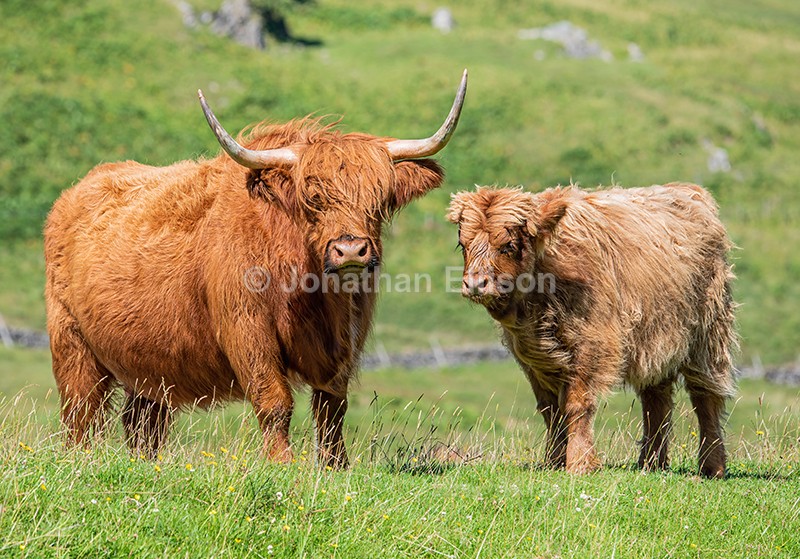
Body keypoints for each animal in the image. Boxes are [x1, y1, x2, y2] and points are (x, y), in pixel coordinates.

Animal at [44, 71, 467, 468]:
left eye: (380, 199)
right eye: (311, 200)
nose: (350, 250)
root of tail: (76, 192)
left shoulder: (347, 339)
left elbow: (333, 409)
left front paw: (336, 466)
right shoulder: (247, 329)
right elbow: (274, 401)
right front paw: (281, 463)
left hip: (149, 362)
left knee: (142, 422)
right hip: (71, 343)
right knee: (81, 413)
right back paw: (78, 459)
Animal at [447, 183, 737, 478]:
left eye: (508, 246)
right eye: (463, 244)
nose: (475, 284)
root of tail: (690, 190)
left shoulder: (592, 346)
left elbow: (577, 404)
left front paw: (579, 463)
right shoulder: (533, 360)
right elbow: (550, 410)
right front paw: (553, 461)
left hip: (707, 334)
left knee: (705, 397)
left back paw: (712, 466)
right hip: (655, 340)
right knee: (656, 398)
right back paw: (651, 462)